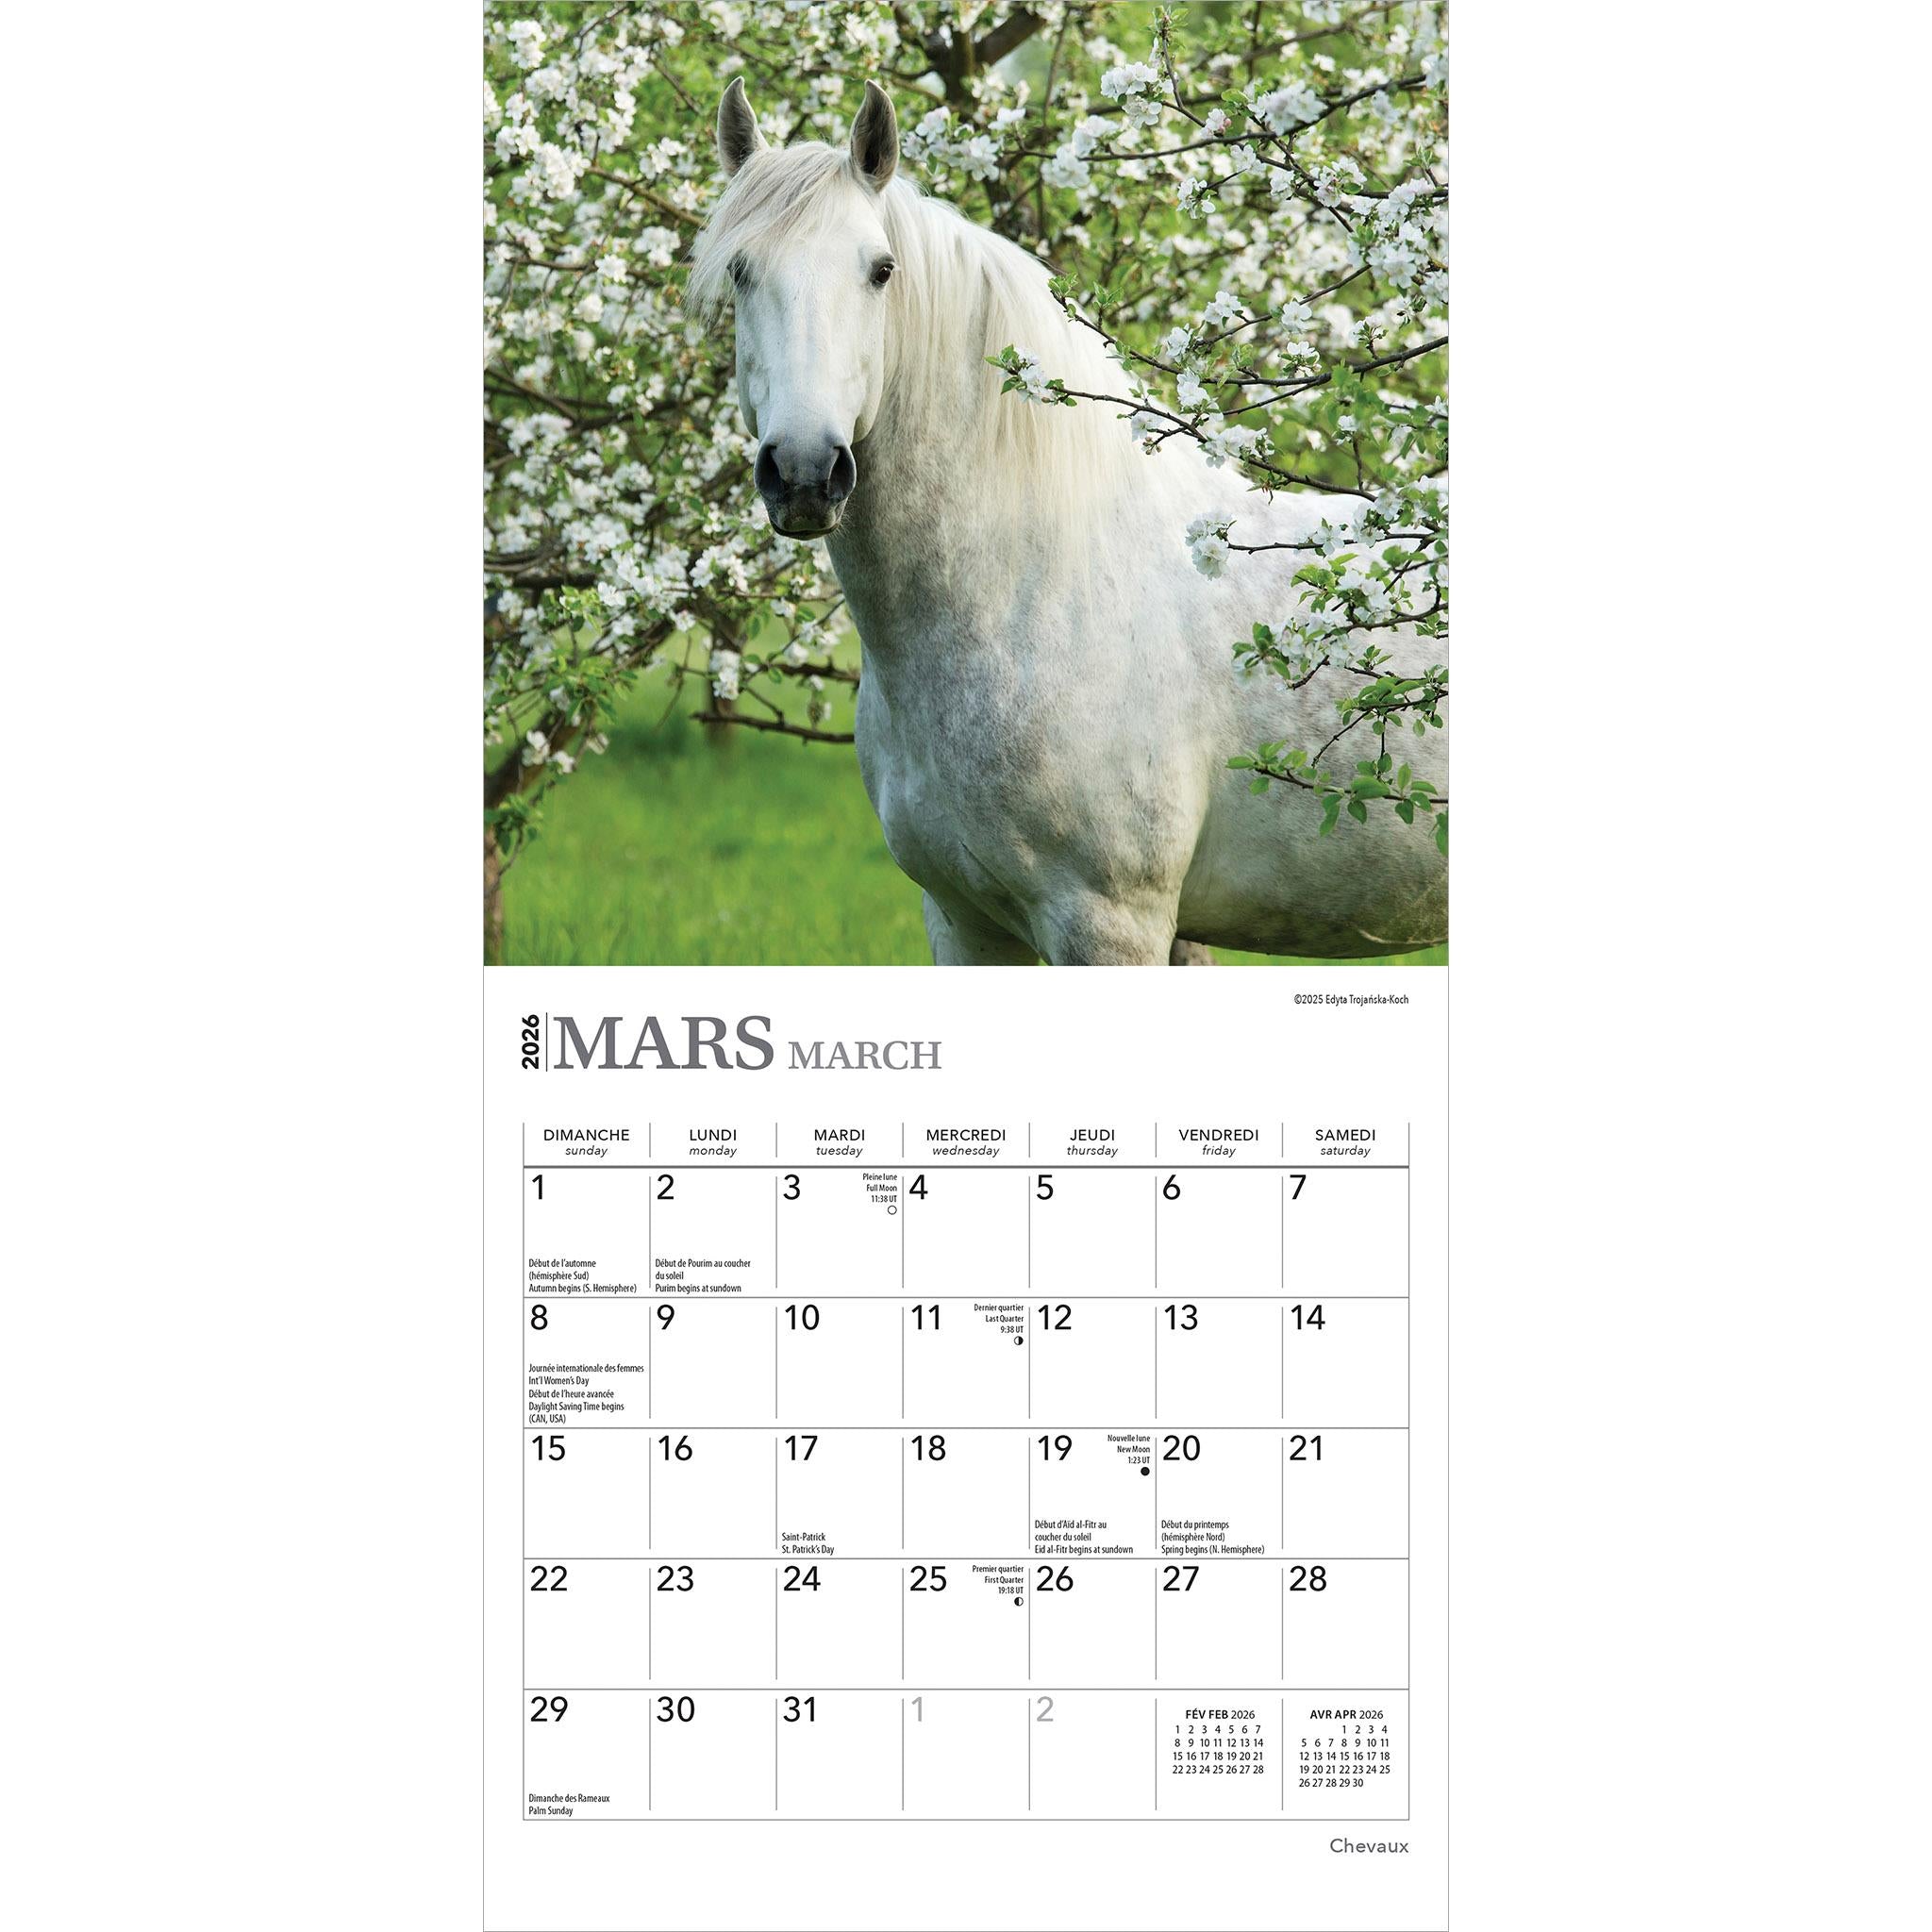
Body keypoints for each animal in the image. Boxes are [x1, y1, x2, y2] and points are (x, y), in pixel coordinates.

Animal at [688, 78, 1447, 966]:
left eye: (881, 271)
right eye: (741, 271)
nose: (806, 473)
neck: (1028, 589)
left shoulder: (1110, 925)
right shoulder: (963, 923)